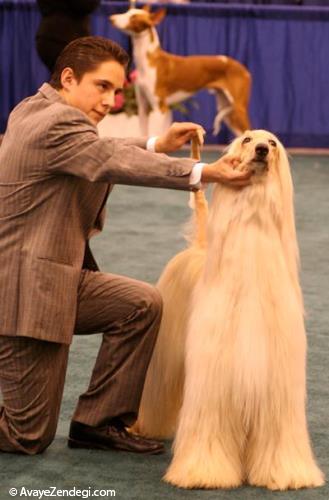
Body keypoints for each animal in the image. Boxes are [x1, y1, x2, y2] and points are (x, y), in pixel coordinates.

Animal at [110, 6, 251, 139]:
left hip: (238, 108)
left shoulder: (160, 109)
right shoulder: (143, 108)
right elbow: (143, 135)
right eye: (127, 11)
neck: (149, 59)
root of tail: (243, 69)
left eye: (133, 17)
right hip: (227, 110)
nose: (112, 18)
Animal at [133, 130, 322, 492]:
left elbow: (277, 438)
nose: (261, 150)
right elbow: (209, 431)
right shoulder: (213, 382)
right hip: (164, 359)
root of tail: (198, 247)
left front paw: (285, 473)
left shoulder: (277, 385)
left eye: (273, 143)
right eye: (247, 139)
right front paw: (204, 473)